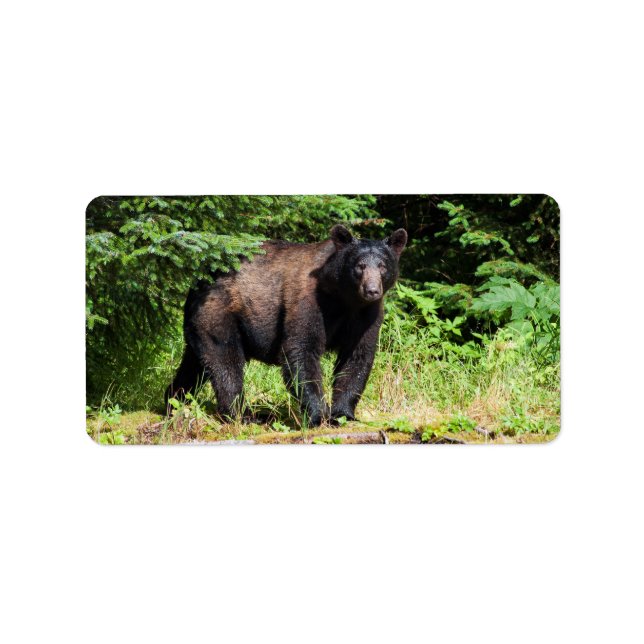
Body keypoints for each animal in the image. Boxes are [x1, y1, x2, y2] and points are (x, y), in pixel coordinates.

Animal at [166, 224, 407, 426]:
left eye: (383, 266)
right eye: (360, 266)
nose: (372, 290)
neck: (344, 299)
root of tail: (198, 282)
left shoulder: (366, 315)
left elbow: (356, 358)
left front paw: (343, 414)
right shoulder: (308, 301)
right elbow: (301, 350)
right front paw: (318, 415)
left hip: (201, 324)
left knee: (195, 364)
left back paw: (173, 399)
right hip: (219, 313)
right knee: (226, 361)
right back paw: (243, 415)